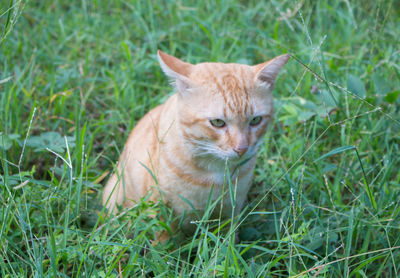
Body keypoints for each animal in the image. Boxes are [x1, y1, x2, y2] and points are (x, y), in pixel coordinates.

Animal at [103, 49, 290, 235]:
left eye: (256, 120)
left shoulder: (231, 211)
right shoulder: (160, 211)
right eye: (217, 122)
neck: (215, 171)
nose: (242, 148)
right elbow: (162, 237)